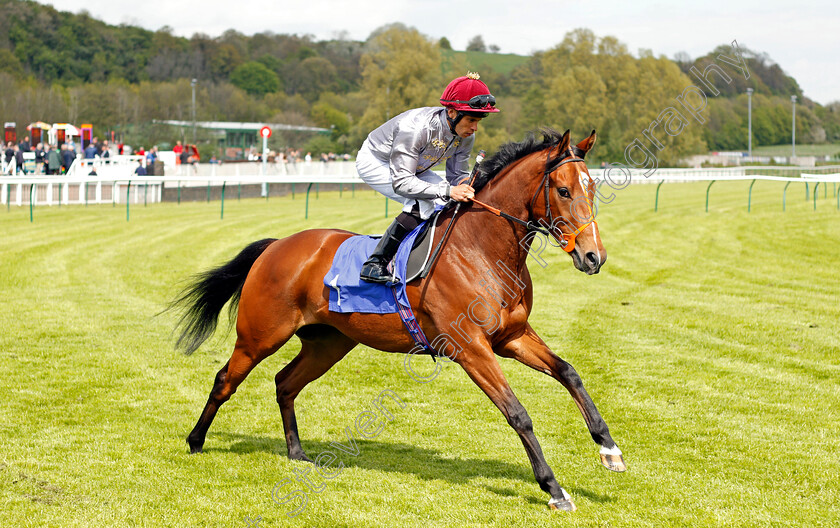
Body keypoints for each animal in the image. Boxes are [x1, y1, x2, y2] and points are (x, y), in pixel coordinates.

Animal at [174, 128, 628, 512]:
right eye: (564, 190)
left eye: (592, 188)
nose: (594, 256)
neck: (482, 249)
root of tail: (278, 244)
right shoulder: (470, 348)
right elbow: (518, 413)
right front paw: (554, 489)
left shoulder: (511, 337)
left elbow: (569, 373)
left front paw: (609, 450)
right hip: (260, 335)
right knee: (225, 379)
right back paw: (196, 441)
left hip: (328, 343)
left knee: (285, 383)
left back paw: (298, 454)